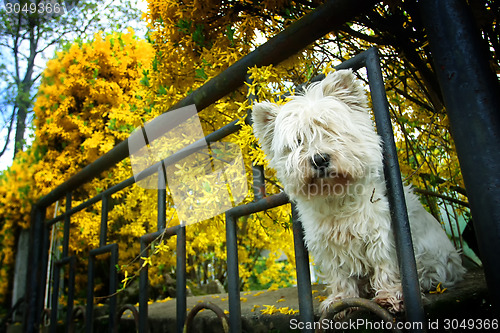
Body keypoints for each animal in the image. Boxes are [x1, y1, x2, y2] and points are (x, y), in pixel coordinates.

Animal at [252, 69, 466, 312]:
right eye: (298, 141)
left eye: (331, 131)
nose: (319, 159)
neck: (337, 197)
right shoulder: (328, 244)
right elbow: (339, 273)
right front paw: (341, 300)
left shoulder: (381, 233)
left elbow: (385, 264)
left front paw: (390, 296)